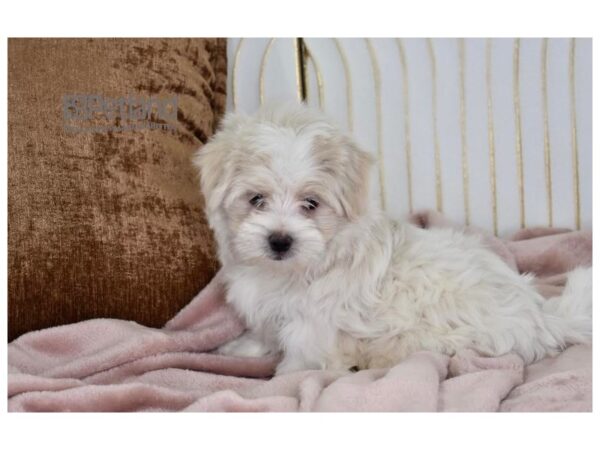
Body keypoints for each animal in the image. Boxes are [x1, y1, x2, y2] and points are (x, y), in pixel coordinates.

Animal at [193, 103, 592, 374]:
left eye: (311, 204)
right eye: (256, 200)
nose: (279, 240)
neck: (288, 272)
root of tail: (543, 317)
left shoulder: (316, 323)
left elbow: (300, 360)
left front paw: (282, 377)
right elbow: (265, 331)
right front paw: (243, 348)